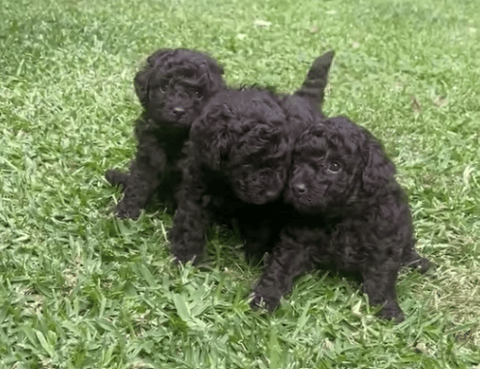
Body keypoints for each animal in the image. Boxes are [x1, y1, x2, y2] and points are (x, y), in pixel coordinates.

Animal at [105, 47, 225, 217]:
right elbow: (138, 184)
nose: (178, 111)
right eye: (165, 87)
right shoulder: (148, 156)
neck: (175, 136)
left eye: (197, 93)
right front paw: (125, 212)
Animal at [251, 115, 432, 320]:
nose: (296, 187)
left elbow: (381, 278)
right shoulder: (296, 241)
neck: (343, 215)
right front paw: (265, 298)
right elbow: (280, 267)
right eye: (297, 160)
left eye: (334, 166)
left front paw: (388, 309)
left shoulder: (383, 244)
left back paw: (418, 262)